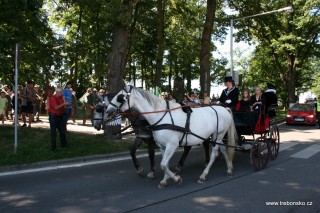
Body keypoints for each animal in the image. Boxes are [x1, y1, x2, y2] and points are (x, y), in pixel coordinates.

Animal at [105, 85, 238, 187]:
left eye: (120, 97)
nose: (107, 112)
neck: (160, 116)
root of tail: (224, 109)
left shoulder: (172, 145)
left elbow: (163, 164)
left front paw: (176, 178)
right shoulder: (162, 146)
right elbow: (164, 164)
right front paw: (164, 181)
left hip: (218, 134)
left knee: (214, 153)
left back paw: (203, 175)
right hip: (216, 136)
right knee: (222, 148)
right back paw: (229, 168)